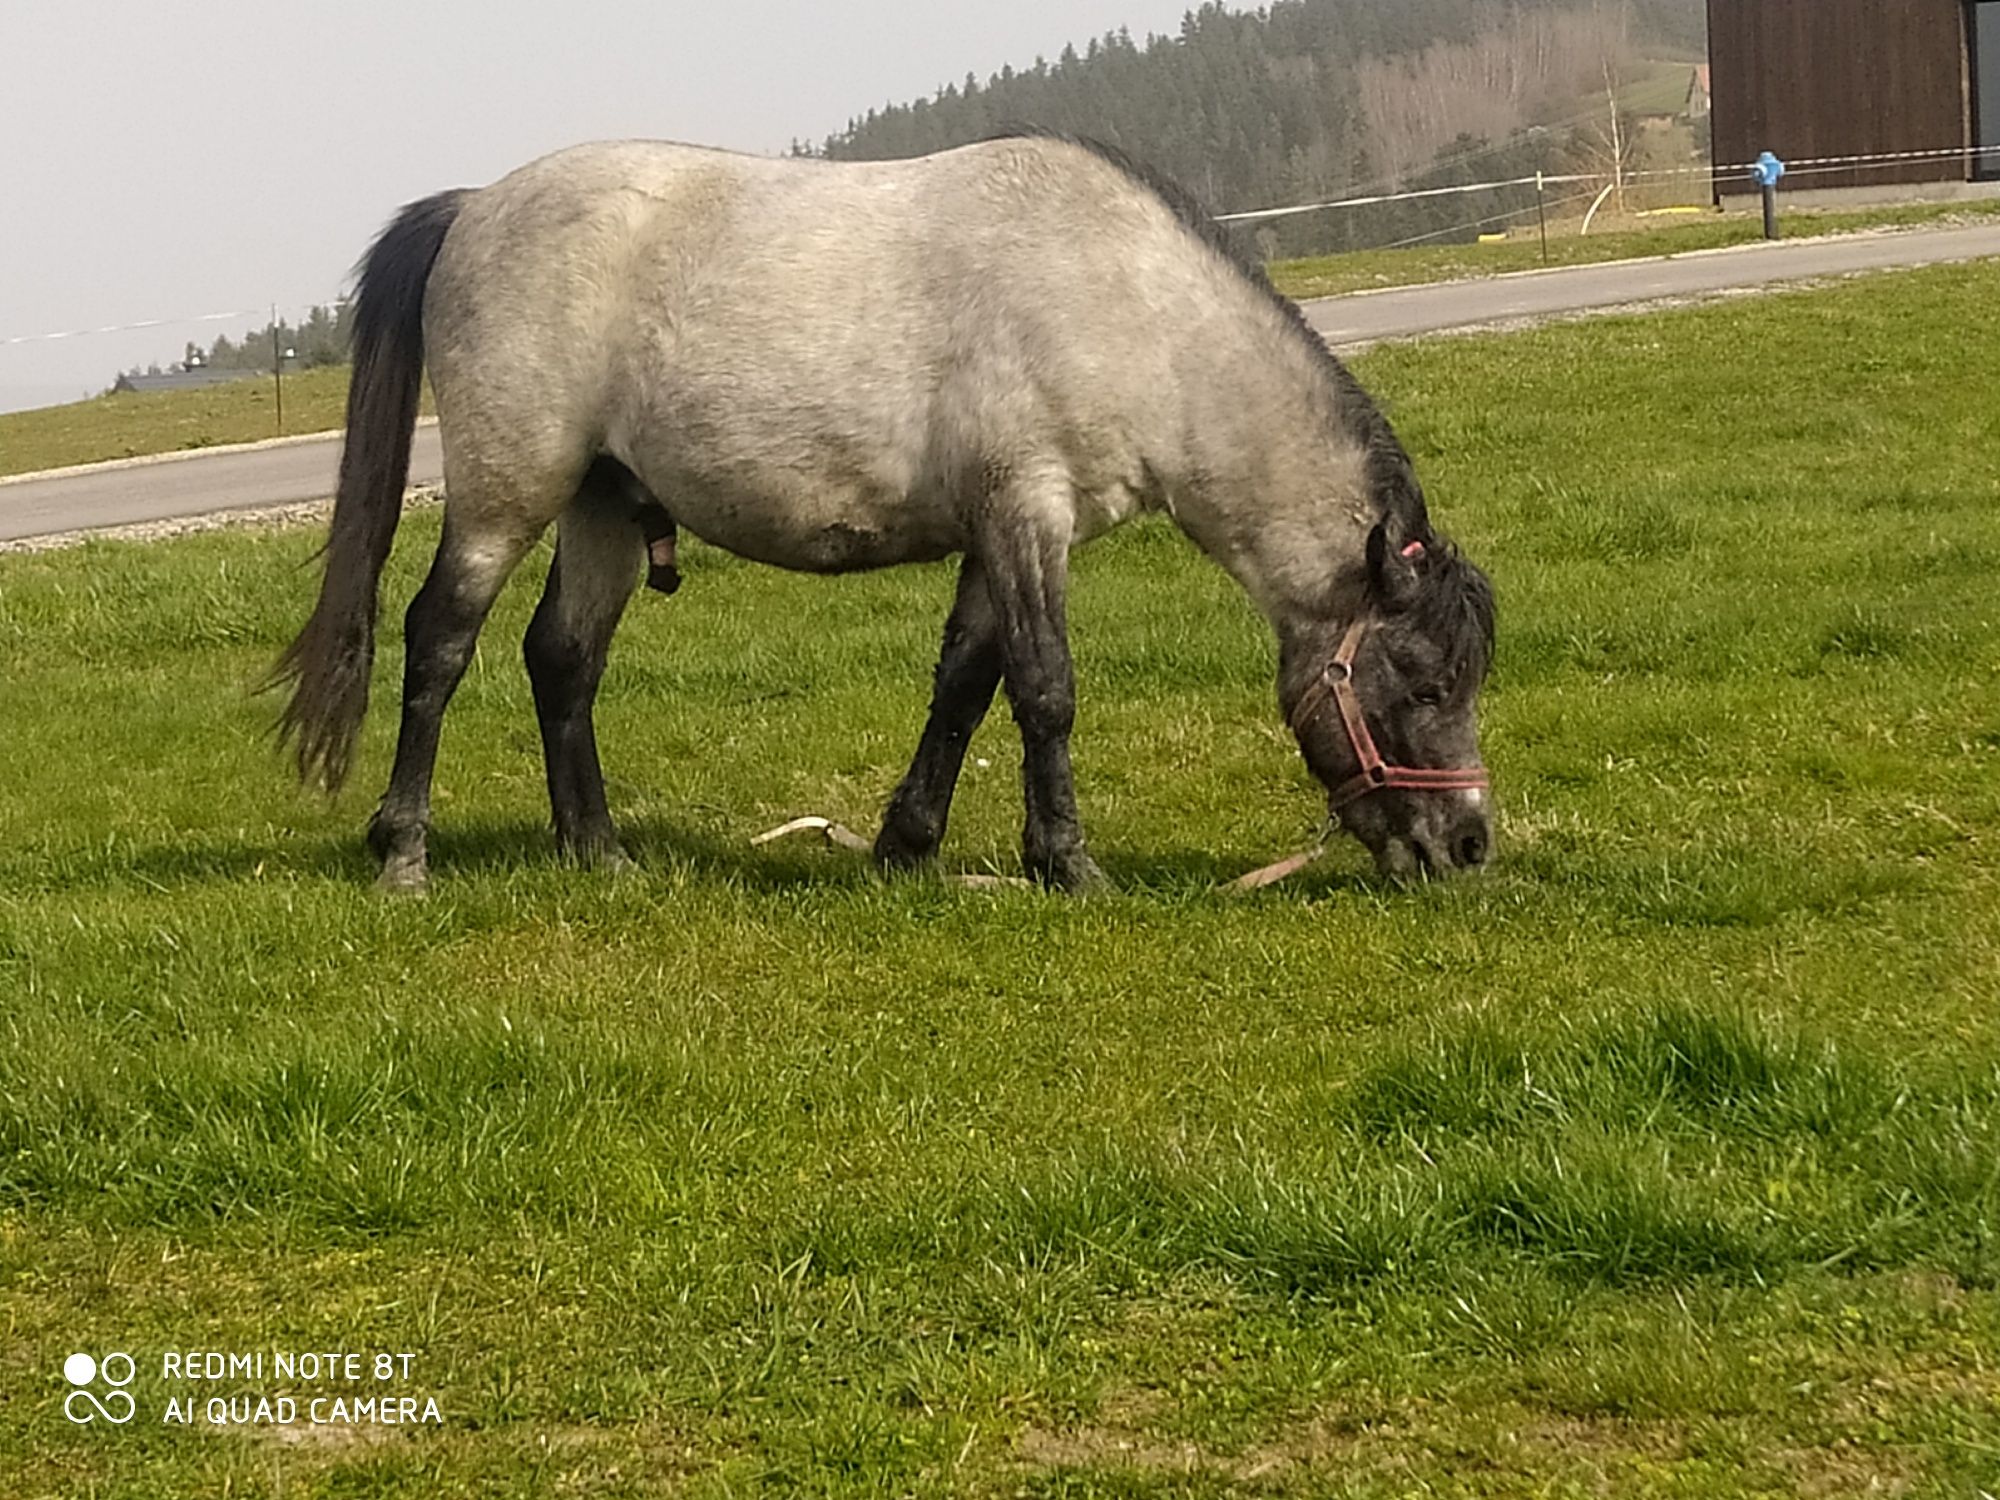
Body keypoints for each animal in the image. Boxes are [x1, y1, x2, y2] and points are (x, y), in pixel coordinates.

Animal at [282, 132, 1504, 892]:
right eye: (1423, 685)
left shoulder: (998, 536)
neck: (1128, 312)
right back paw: (403, 852)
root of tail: (476, 208)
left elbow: (964, 685)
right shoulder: (1027, 518)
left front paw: (907, 848)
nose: (1469, 843)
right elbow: (1044, 692)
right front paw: (1066, 863)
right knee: (440, 643)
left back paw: (598, 851)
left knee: (563, 658)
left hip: (602, 507)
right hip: (509, 493)